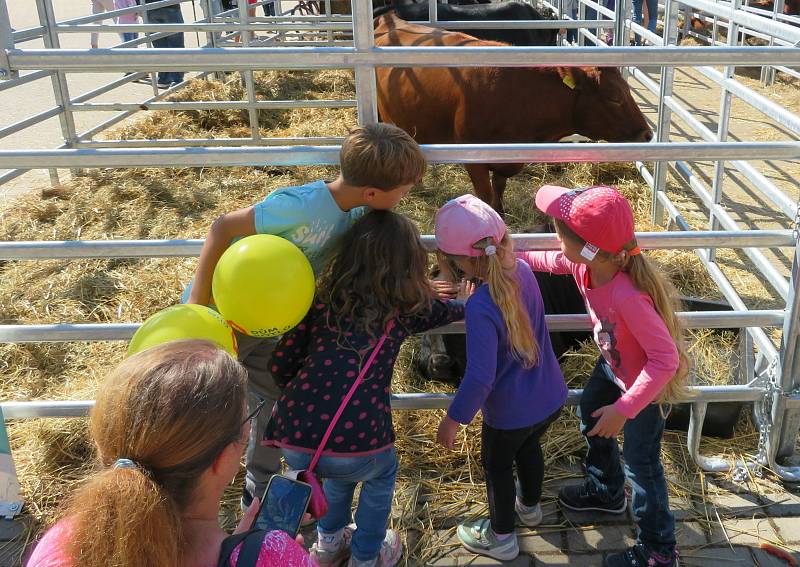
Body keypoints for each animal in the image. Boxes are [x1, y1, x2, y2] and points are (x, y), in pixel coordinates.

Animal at [374, 15, 648, 216]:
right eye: (614, 97)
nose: (647, 133)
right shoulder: (474, 159)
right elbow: (484, 196)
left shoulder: (507, 157)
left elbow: (499, 189)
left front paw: (501, 212)